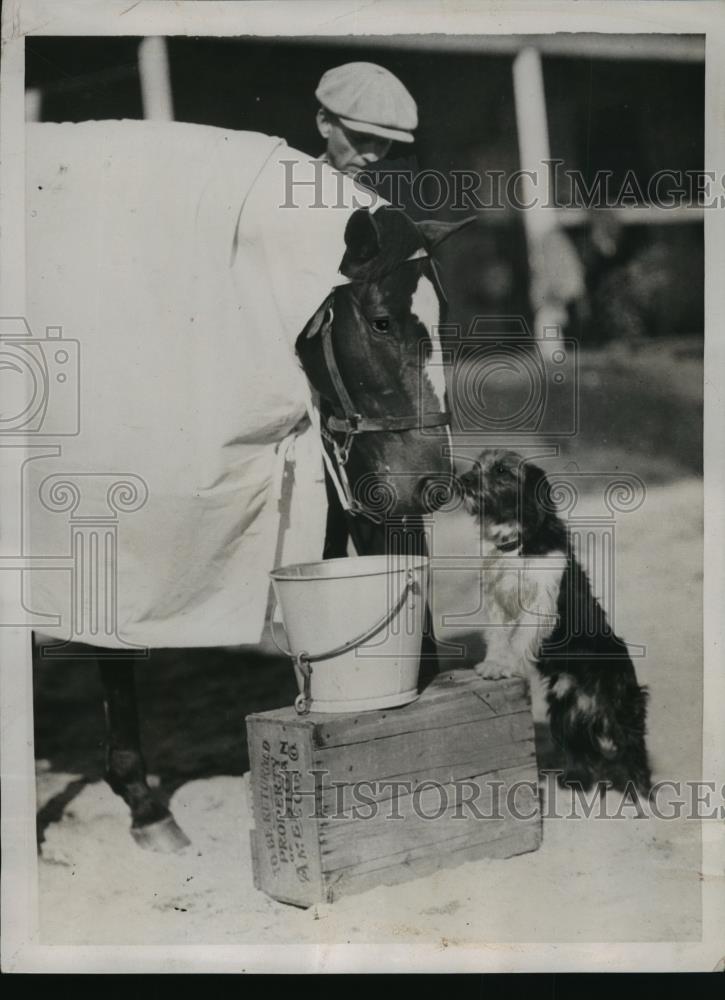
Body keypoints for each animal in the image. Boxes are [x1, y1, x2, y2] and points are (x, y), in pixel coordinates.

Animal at [428, 450, 652, 792]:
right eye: (477, 466)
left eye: (502, 471)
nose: (463, 481)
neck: (516, 543)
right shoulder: (497, 603)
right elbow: (498, 638)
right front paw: (494, 664)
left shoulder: (539, 606)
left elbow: (518, 638)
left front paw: (504, 667)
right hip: (566, 715)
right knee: (585, 757)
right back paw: (575, 783)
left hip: (622, 712)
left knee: (635, 757)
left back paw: (642, 794)